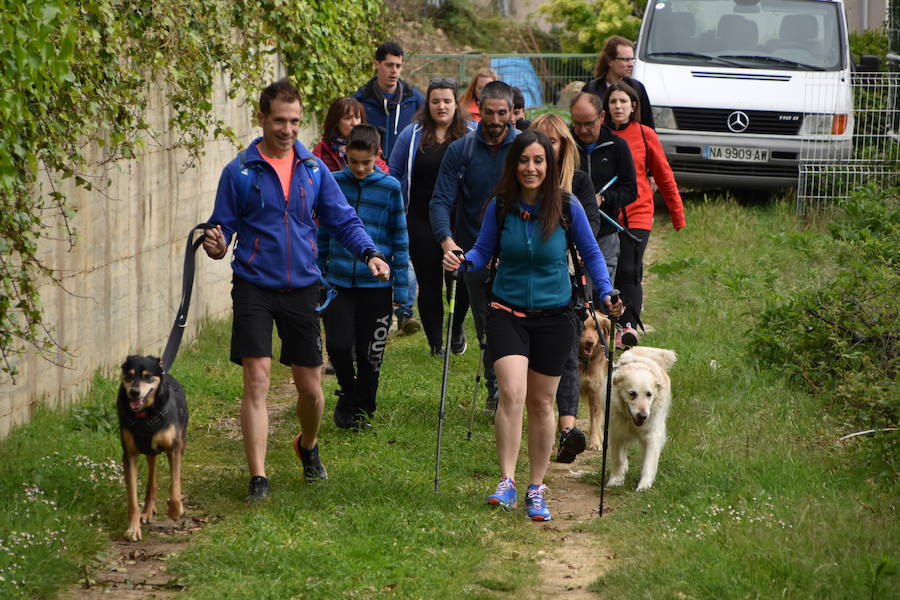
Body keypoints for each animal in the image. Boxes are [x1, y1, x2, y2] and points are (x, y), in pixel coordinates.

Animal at [118, 354, 188, 540]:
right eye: (129, 375)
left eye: (147, 376)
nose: (134, 392)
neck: (144, 414)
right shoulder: (129, 454)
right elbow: (132, 499)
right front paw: (133, 528)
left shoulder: (174, 448)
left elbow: (175, 488)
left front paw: (175, 511)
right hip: (150, 451)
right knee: (152, 479)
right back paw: (148, 510)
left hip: (181, 441)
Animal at [576, 314, 612, 450]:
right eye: (583, 326)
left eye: (596, 328)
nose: (590, 343)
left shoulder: (595, 391)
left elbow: (595, 419)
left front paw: (595, 442)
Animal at [604, 346, 676, 492]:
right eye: (632, 394)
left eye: (649, 394)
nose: (642, 416)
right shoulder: (616, 432)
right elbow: (618, 458)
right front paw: (616, 480)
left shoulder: (652, 435)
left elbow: (649, 461)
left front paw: (644, 486)